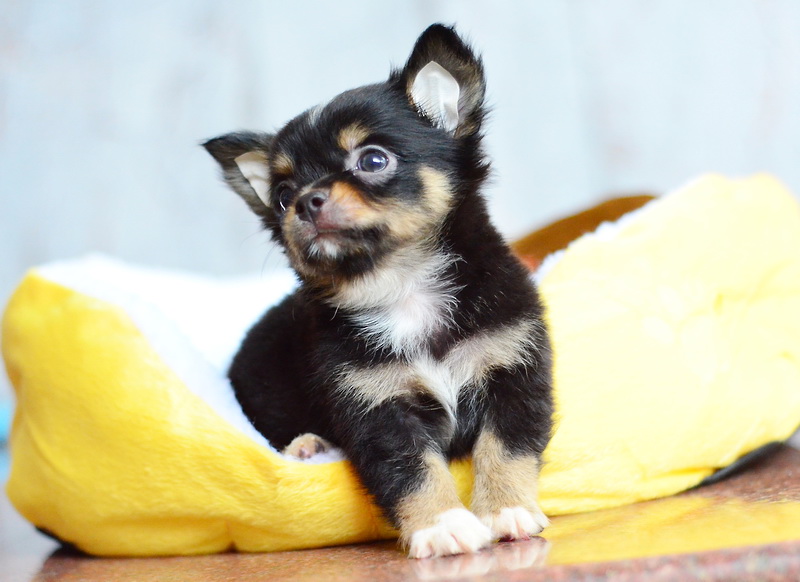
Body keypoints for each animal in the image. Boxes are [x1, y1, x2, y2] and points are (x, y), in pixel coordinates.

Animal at [203, 24, 554, 559]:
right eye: (281, 196)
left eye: (372, 160)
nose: (304, 202)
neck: (402, 283)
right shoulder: (374, 407)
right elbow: (412, 470)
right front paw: (442, 524)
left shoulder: (512, 369)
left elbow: (505, 448)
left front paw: (504, 509)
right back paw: (308, 446)